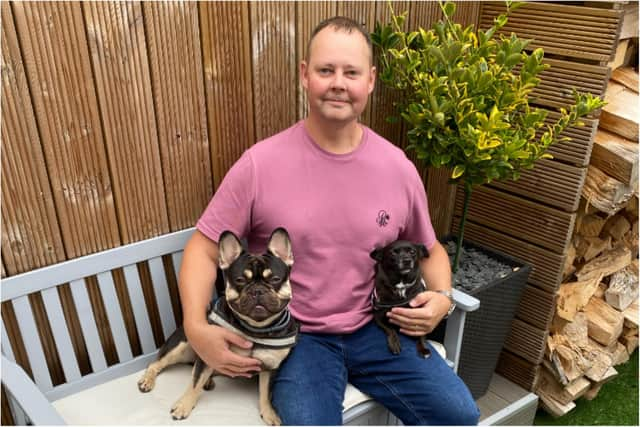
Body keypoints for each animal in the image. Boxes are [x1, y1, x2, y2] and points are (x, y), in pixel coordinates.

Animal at [138, 227, 298, 424]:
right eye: (240, 280)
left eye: (275, 279)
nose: (257, 290)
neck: (255, 328)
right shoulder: (210, 353)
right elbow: (194, 383)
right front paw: (184, 405)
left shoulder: (270, 366)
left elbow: (266, 392)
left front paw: (270, 413)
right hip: (180, 345)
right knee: (156, 364)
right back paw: (148, 380)